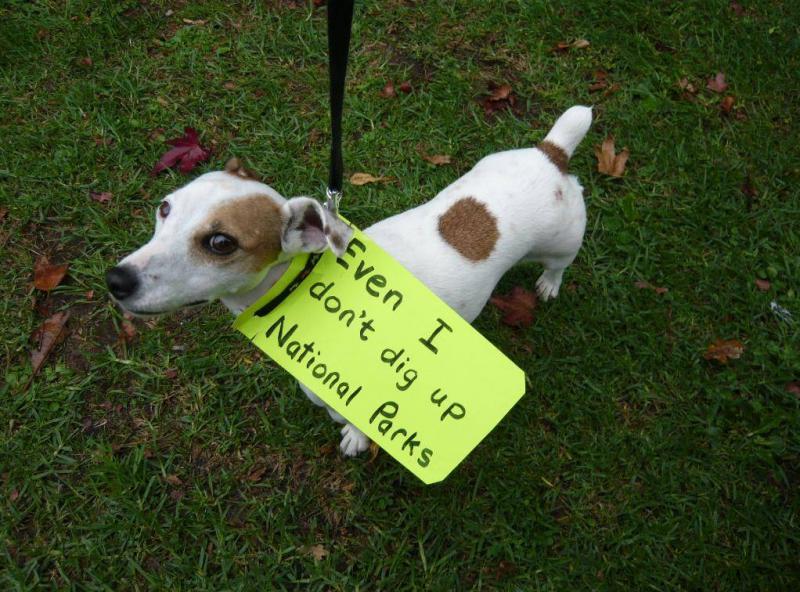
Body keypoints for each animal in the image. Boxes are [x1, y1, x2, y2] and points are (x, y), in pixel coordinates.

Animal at [106, 106, 592, 456]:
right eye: (165, 207)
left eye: (221, 243)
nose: (115, 279)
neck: (302, 285)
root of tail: (550, 154)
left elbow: (351, 417)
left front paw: (356, 436)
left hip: (561, 242)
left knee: (558, 264)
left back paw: (549, 284)